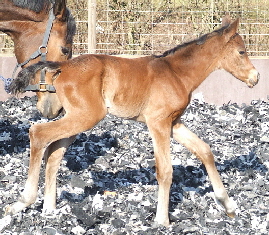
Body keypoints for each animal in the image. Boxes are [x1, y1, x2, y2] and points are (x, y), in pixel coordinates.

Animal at [7, 16, 258, 226]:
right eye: (241, 52)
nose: (255, 78)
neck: (177, 73)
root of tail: (63, 65)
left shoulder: (173, 123)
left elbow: (205, 150)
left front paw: (228, 205)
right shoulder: (158, 123)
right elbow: (165, 170)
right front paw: (162, 220)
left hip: (77, 117)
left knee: (54, 153)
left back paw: (49, 208)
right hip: (85, 116)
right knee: (38, 134)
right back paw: (23, 201)